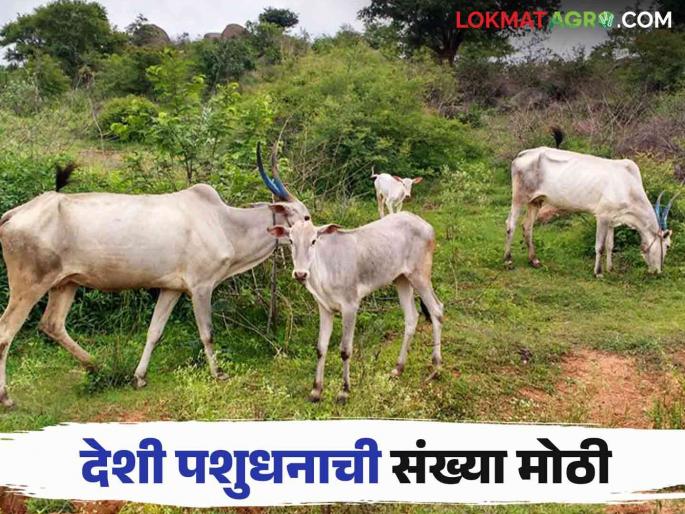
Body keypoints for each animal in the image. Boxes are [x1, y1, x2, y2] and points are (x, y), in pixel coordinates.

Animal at [0, 144, 308, 408]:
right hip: (29, 285)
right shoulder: (201, 287)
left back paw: (98, 366)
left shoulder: (172, 289)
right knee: (6, 331)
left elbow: (154, 332)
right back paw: (7, 397)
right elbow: (207, 333)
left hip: (66, 283)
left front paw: (139, 377)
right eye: (305, 216)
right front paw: (218, 373)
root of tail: (15, 214)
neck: (225, 224)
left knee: (52, 324)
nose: (315, 232)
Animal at [267, 212, 443, 403]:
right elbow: (321, 348)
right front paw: (316, 390)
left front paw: (344, 391)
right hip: (401, 278)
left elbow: (345, 349)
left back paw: (436, 367)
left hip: (420, 275)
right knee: (411, 317)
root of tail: (426, 224)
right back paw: (398, 368)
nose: (300, 274)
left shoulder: (350, 305)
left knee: (437, 310)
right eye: (291, 240)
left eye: (313, 240)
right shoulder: (324, 307)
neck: (323, 275)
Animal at [504, 146, 676, 276]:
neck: (628, 186)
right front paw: (598, 272)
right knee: (510, 224)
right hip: (519, 196)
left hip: (535, 201)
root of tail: (523, 154)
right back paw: (508, 260)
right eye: (667, 246)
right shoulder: (602, 217)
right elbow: (600, 246)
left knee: (527, 227)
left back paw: (534, 260)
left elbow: (610, 245)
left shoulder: (613, 220)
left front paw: (610, 269)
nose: (658, 271)